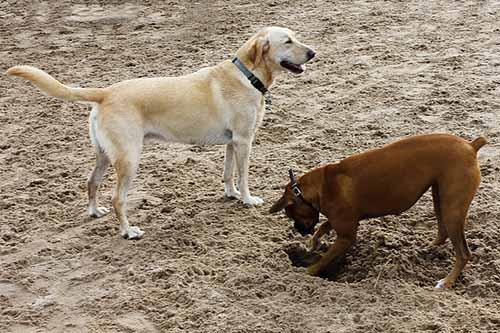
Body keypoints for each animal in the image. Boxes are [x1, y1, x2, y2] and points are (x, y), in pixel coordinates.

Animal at [272, 134, 486, 286]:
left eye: (291, 214)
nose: (298, 230)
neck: (323, 185)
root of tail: (470, 146)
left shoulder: (346, 237)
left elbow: (324, 259)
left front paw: (307, 271)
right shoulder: (341, 221)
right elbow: (324, 225)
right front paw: (314, 242)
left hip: (453, 209)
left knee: (463, 253)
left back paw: (447, 282)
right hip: (440, 197)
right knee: (442, 233)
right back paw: (427, 248)